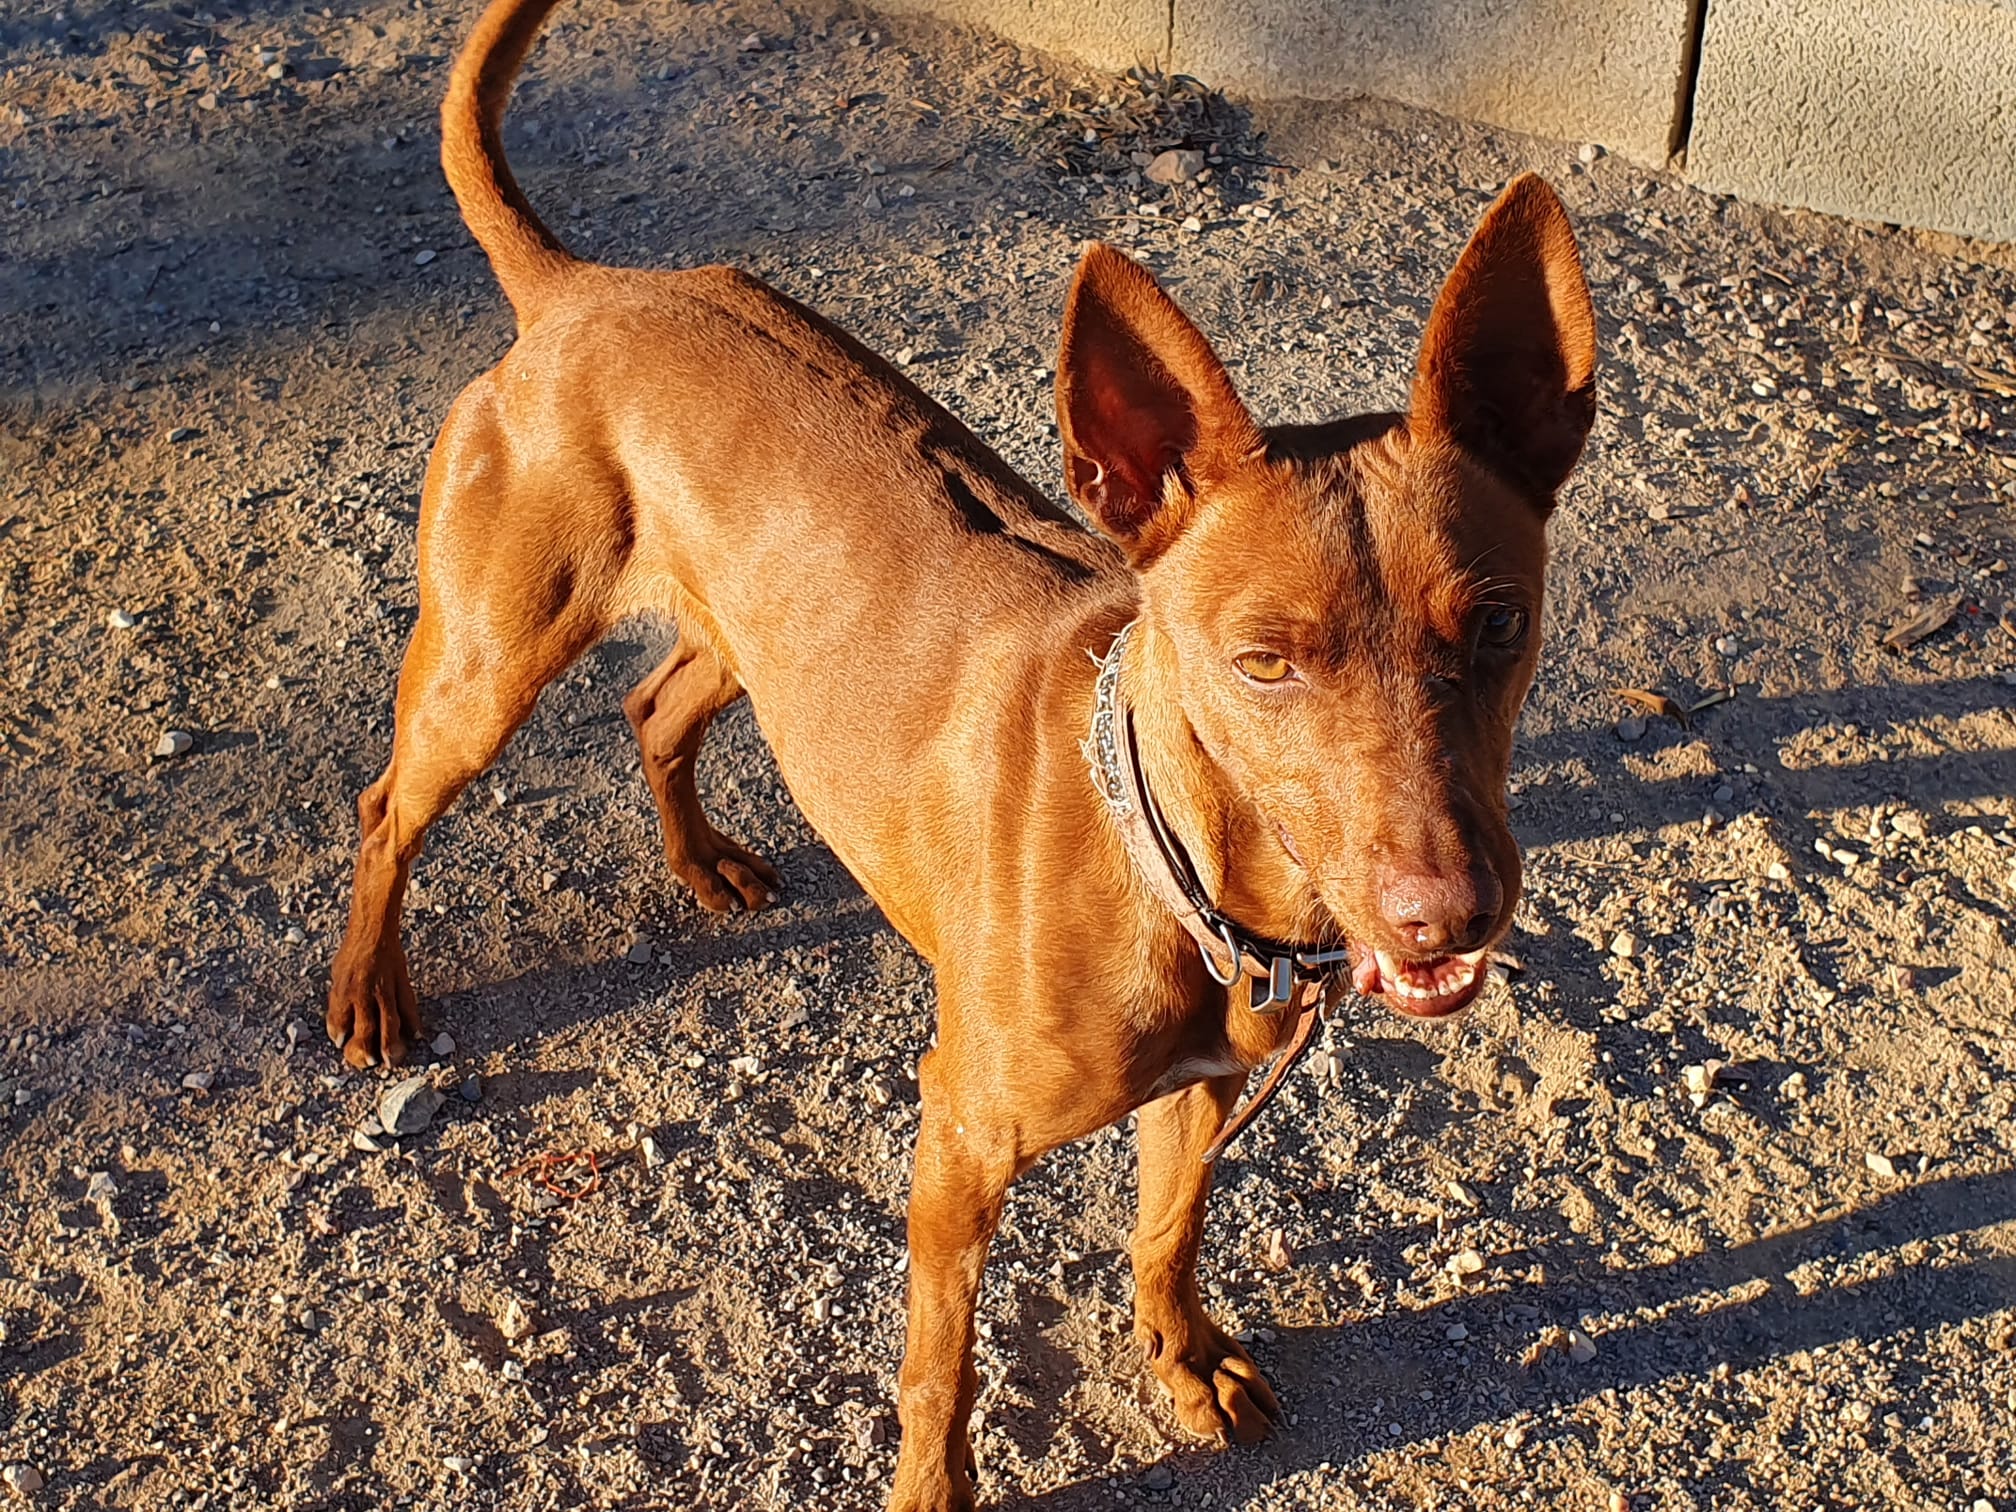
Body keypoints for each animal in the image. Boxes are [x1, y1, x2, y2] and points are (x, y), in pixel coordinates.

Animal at [327, 0, 1597, 1504]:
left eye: (1501, 622)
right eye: (1263, 662)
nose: (1446, 912)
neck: (1181, 874)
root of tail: (588, 288)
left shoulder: (1211, 1093)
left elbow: (1166, 1232)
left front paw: (1182, 1354)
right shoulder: (957, 1142)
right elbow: (941, 1368)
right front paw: (933, 1482)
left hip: (752, 639)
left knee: (654, 711)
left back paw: (703, 865)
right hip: (487, 667)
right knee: (385, 805)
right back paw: (371, 991)